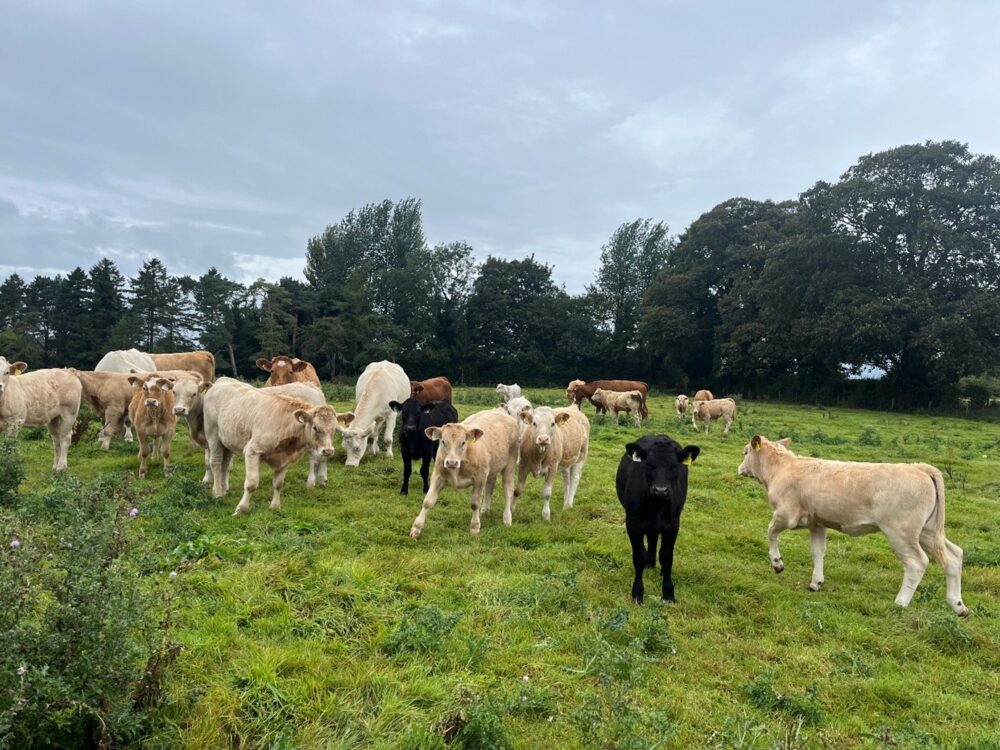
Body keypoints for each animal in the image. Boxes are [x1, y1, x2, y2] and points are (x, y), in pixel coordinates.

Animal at [202, 377, 345, 515]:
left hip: (227, 441)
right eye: (315, 427)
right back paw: (217, 493)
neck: (284, 424)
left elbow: (278, 484)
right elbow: (251, 483)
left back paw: (223, 489)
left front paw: (275, 506)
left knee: (225, 464)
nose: (328, 451)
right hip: (213, 434)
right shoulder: (252, 450)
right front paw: (241, 509)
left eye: (334, 429)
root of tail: (219, 382)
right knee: (216, 462)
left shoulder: (285, 458)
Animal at [409, 409, 519, 538]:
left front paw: (475, 527)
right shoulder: (437, 476)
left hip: (510, 466)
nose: (451, 462)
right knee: (490, 487)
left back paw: (507, 518)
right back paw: (485, 510)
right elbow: (427, 502)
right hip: (492, 468)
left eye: (463, 442)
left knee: (508, 491)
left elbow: (475, 503)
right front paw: (416, 528)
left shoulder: (480, 479)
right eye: (443, 441)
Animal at [616, 434, 700, 603]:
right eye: (649, 464)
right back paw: (650, 563)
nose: (661, 490)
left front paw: (668, 593)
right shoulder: (632, 523)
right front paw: (637, 592)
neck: (657, 506)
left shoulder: (673, 525)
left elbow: (667, 556)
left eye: (674, 466)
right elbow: (638, 557)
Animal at [738, 435, 969, 616]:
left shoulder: (786, 515)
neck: (781, 469)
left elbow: (770, 532)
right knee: (954, 556)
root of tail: (920, 467)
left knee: (917, 562)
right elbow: (817, 552)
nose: (740, 468)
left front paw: (777, 563)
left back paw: (900, 603)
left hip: (901, 532)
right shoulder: (817, 523)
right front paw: (816, 582)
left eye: (745, 451)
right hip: (928, 532)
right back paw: (958, 605)